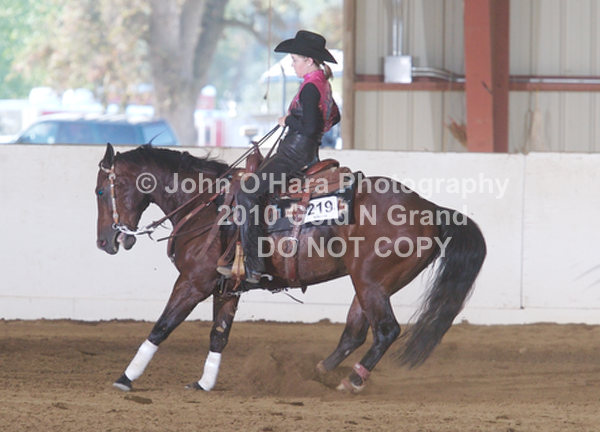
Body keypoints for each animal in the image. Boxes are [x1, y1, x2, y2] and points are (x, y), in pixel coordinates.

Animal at [95, 142, 486, 393]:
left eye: (100, 191)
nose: (104, 242)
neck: (207, 206)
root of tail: (430, 209)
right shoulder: (228, 287)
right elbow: (218, 334)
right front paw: (204, 383)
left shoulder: (194, 282)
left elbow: (162, 327)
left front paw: (125, 378)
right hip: (370, 285)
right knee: (355, 333)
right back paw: (318, 372)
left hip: (372, 283)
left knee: (386, 331)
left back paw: (352, 381)